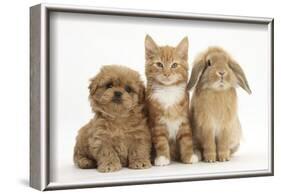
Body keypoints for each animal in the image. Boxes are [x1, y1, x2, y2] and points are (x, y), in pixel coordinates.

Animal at [144, 34, 197, 165]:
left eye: (174, 65)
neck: (168, 90)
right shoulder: (157, 122)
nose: (166, 74)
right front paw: (163, 158)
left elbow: (186, 139)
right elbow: (161, 141)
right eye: (159, 64)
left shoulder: (184, 119)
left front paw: (189, 156)